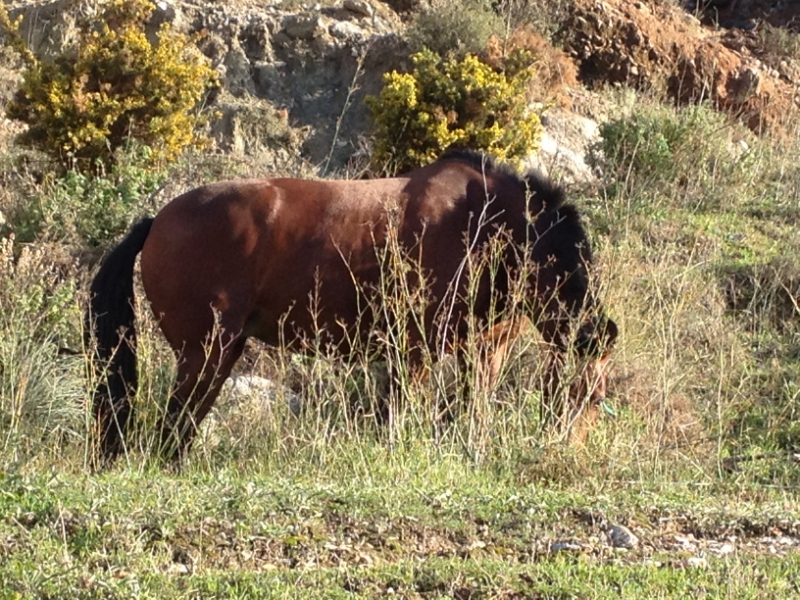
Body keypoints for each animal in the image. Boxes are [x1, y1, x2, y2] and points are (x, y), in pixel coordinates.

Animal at [86, 149, 618, 465]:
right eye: (586, 397)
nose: (567, 451)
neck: (486, 221)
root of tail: (157, 221)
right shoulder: (413, 350)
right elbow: (396, 416)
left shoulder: (485, 351)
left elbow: (471, 413)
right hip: (206, 354)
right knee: (173, 429)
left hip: (217, 354)